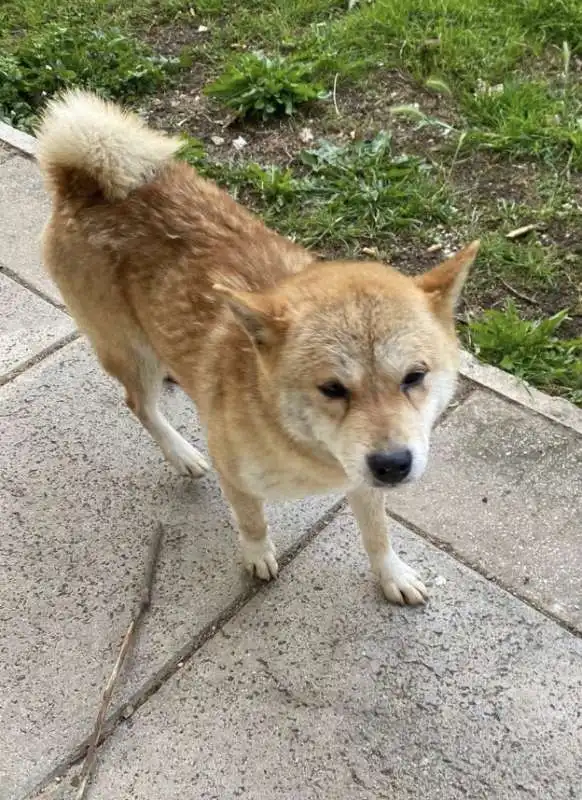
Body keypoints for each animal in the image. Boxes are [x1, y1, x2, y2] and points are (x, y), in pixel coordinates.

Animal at [38, 92, 482, 608]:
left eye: (414, 377)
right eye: (332, 388)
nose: (393, 465)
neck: (299, 443)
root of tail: (83, 184)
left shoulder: (362, 477)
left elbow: (378, 534)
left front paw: (391, 574)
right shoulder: (237, 474)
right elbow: (252, 522)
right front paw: (257, 556)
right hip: (128, 352)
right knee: (140, 405)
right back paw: (181, 452)